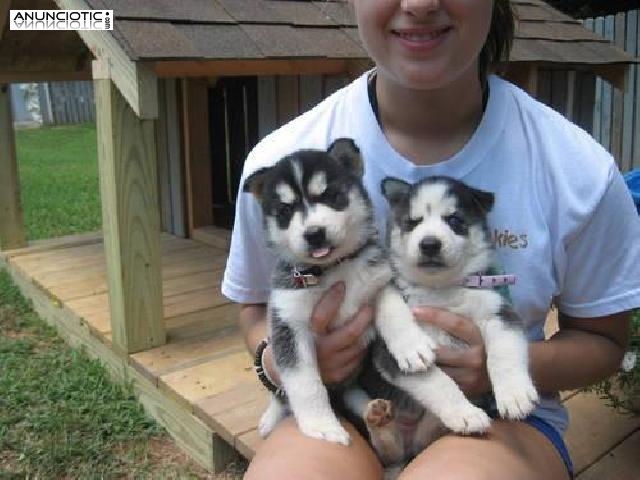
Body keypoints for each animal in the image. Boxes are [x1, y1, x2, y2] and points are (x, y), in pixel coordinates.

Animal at [242, 137, 392, 444]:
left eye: (332, 196)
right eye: (285, 212)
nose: (314, 234)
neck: (332, 270)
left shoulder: (379, 277)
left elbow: (395, 309)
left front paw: (413, 345)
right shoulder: (288, 325)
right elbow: (304, 383)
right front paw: (321, 425)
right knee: (281, 394)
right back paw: (270, 418)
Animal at [364, 176, 540, 464]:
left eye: (455, 220)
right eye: (413, 222)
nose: (429, 244)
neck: (439, 289)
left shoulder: (498, 312)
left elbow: (504, 353)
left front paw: (514, 395)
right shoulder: (387, 355)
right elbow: (439, 382)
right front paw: (464, 413)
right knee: (389, 452)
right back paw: (379, 420)